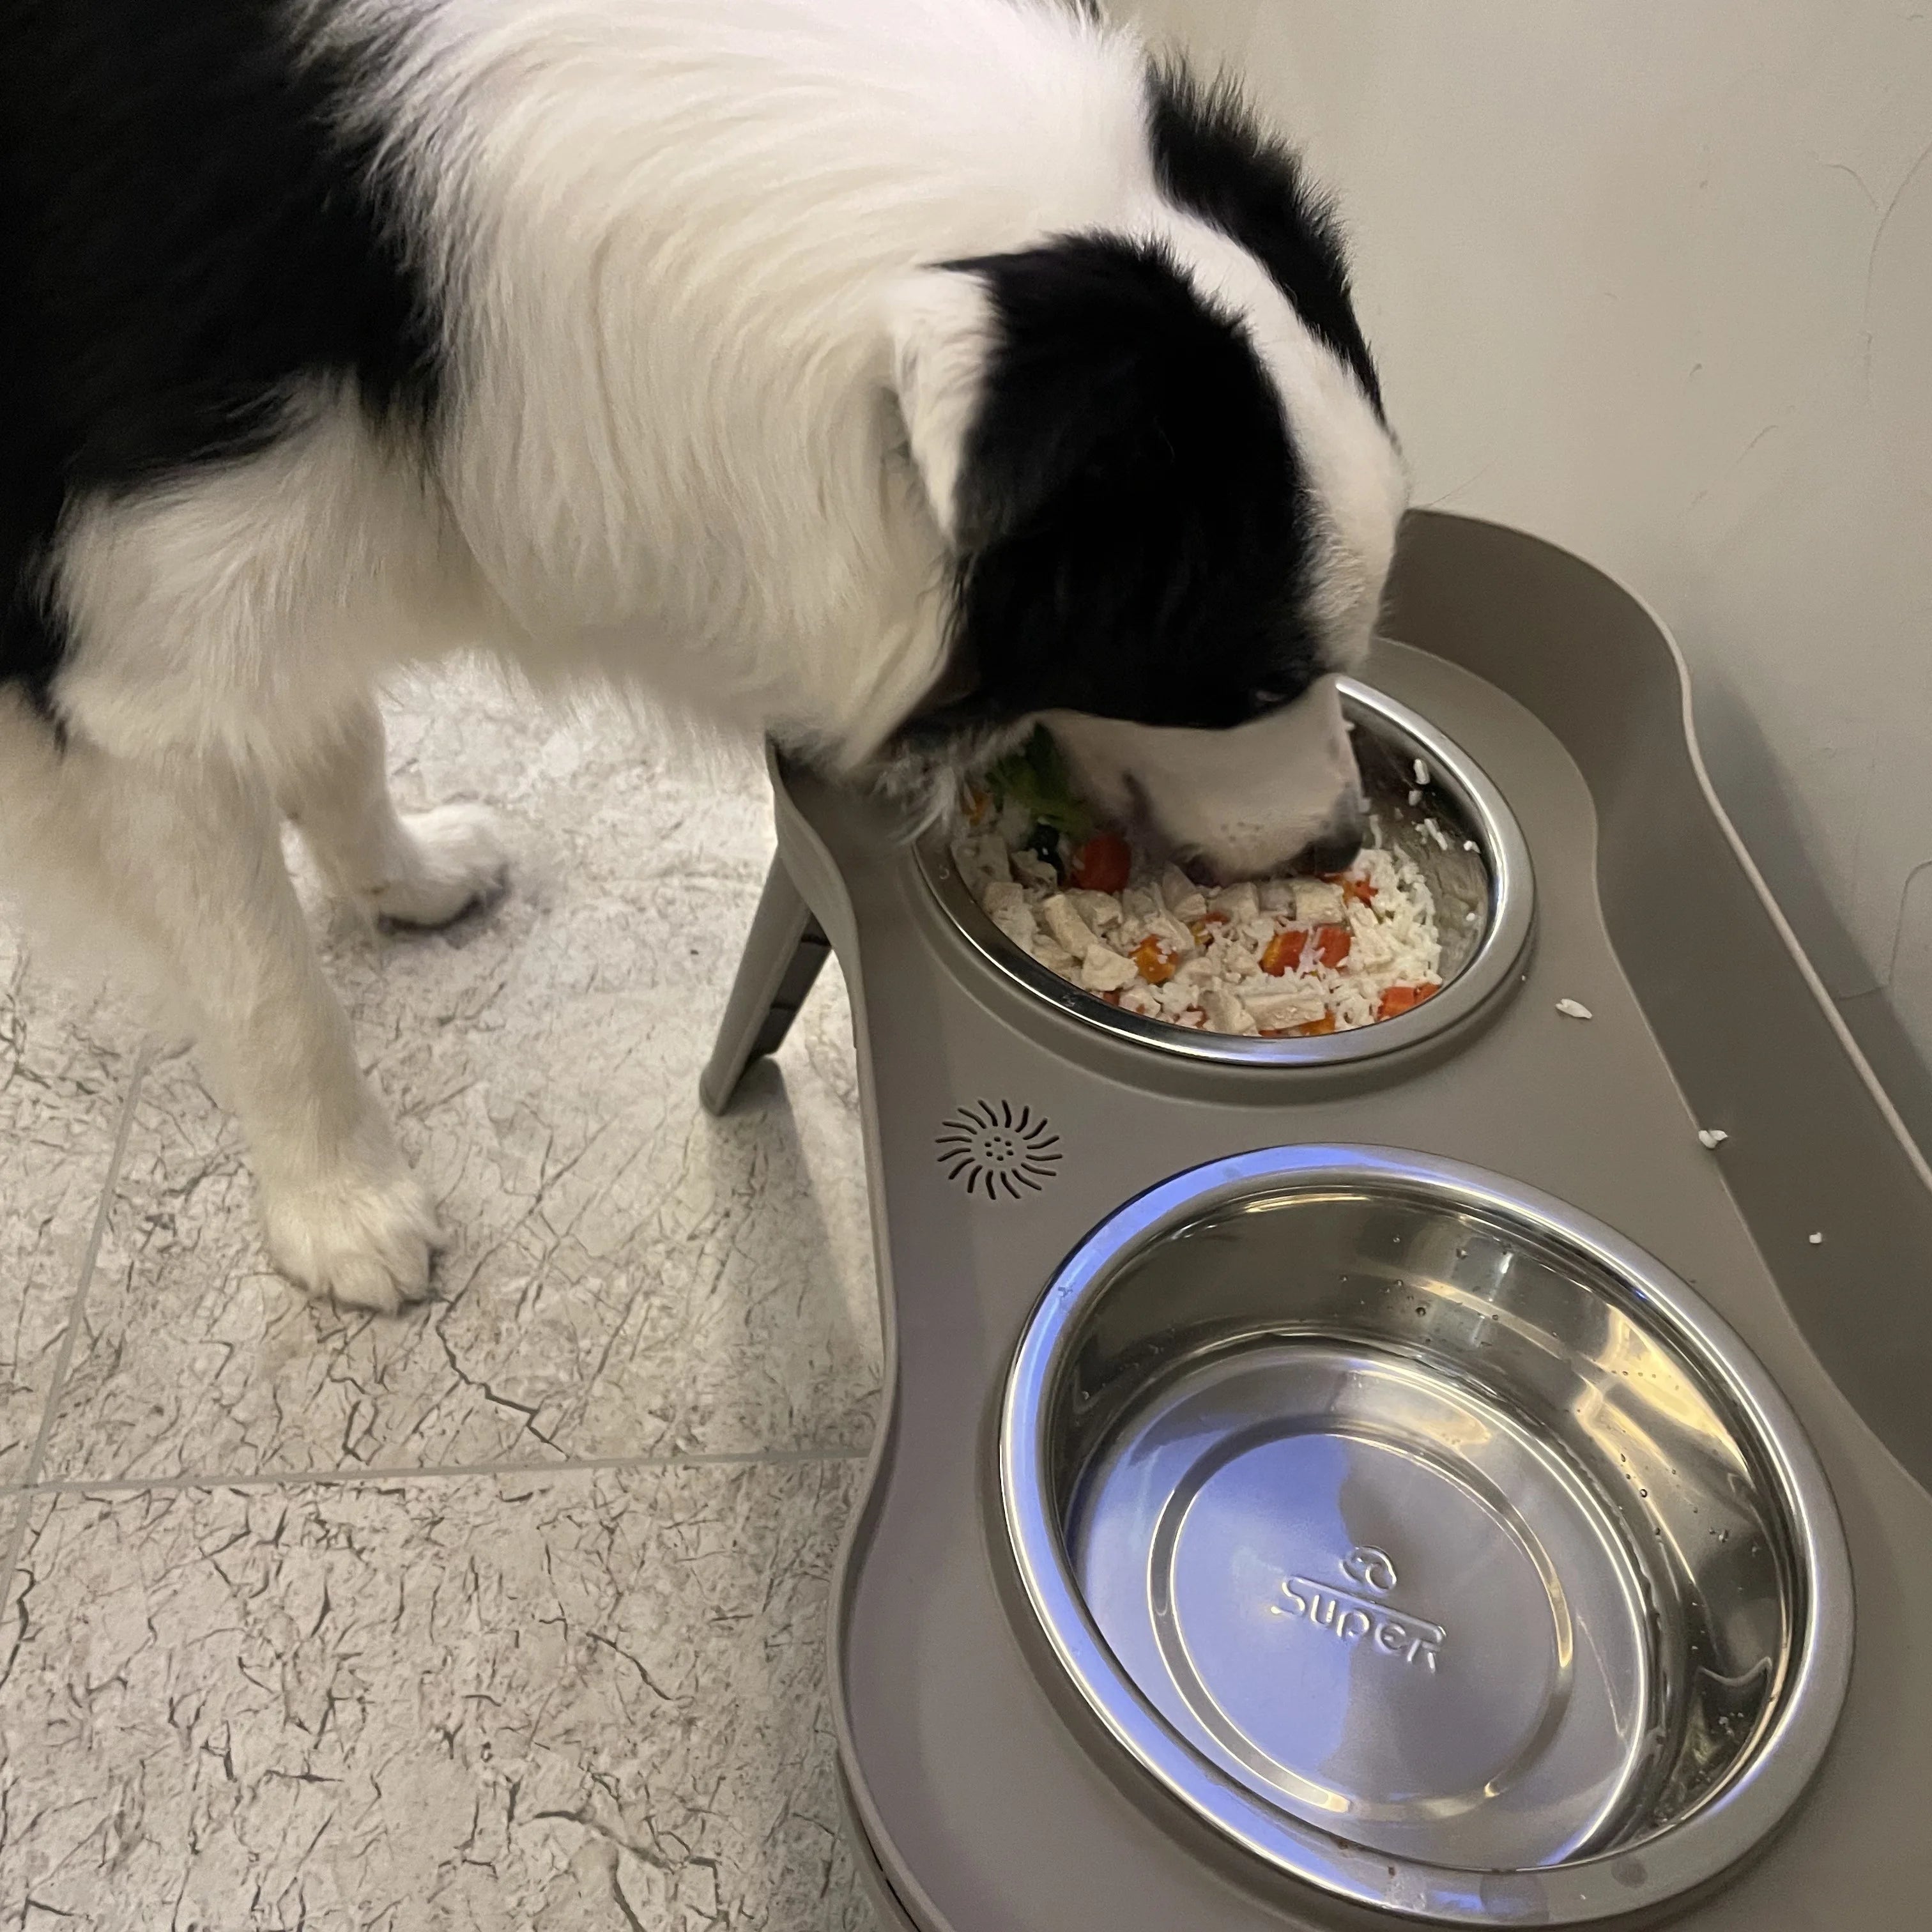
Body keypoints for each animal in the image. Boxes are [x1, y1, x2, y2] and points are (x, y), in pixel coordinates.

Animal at [0, 0, 1406, 1306]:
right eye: (1247, 680)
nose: (1340, 842)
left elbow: (331, 716)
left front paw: (401, 875)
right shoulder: (133, 633)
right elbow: (260, 976)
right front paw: (345, 1211)